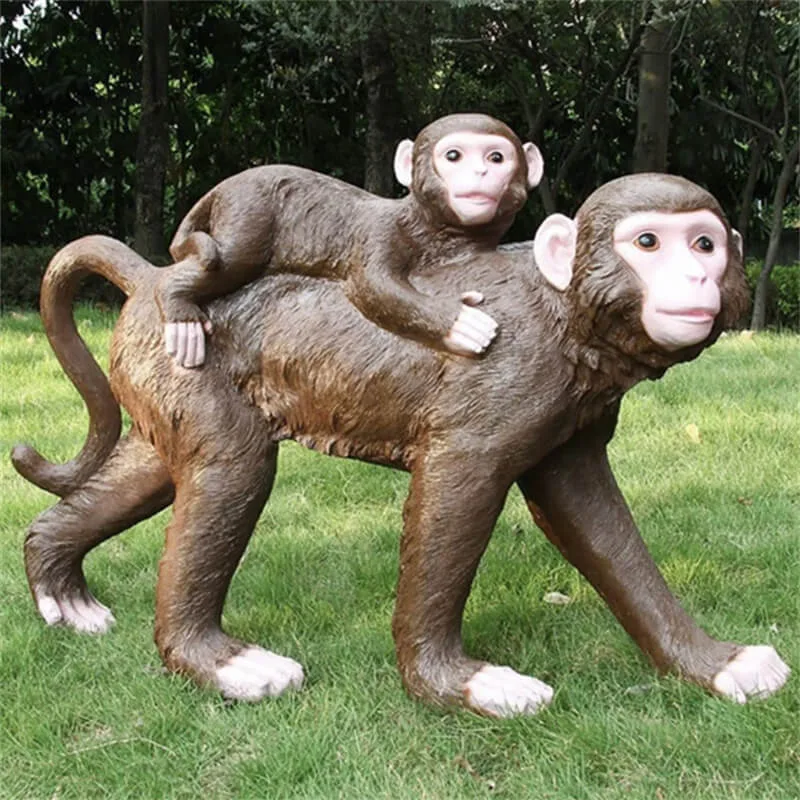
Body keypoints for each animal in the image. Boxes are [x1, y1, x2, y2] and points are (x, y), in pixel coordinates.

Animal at [12, 174, 790, 717]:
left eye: (704, 242)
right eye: (649, 243)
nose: (697, 275)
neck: (564, 310)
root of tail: (151, 280)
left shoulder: (571, 425)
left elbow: (597, 527)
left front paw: (711, 662)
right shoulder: (506, 388)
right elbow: (455, 492)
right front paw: (455, 683)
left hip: (161, 380)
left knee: (155, 472)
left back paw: (58, 582)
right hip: (185, 357)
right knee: (233, 470)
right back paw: (213, 660)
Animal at [158, 113, 544, 367]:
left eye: (497, 156)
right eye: (454, 155)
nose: (481, 171)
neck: (431, 235)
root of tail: (224, 187)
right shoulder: (381, 233)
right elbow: (373, 286)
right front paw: (464, 323)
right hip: (247, 221)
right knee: (222, 263)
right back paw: (181, 317)